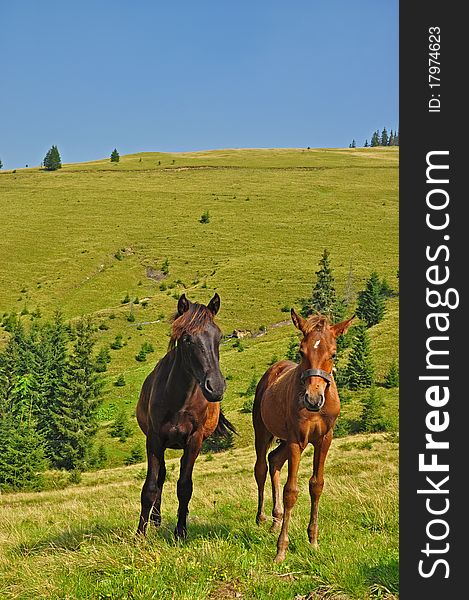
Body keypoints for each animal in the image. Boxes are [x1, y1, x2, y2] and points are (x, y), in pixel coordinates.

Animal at [135, 294, 234, 540]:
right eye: (187, 338)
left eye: (218, 336)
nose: (216, 387)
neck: (179, 401)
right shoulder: (154, 440)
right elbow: (150, 487)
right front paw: (140, 534)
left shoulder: (194, 441)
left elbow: (184, 487)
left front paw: (181, 532)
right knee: (160, 478)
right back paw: (155, 520)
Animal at [252, 310, 352, 564]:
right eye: (301, 351)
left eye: (333, 353)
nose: (313, 398)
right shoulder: (296, 439)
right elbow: (291, 491)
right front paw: (281, 549)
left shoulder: (324, 439)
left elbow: (316, 485)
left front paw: (313, 541)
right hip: (264, 431)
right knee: (261, 468)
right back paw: (261, 518)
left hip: (288, 441)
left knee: (274, 460)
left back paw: (276, 520)